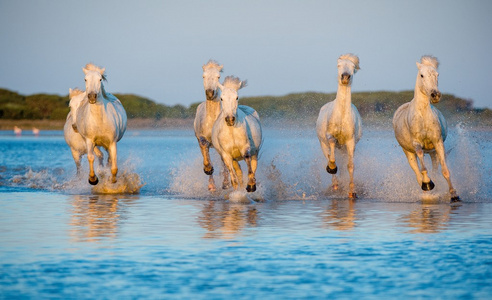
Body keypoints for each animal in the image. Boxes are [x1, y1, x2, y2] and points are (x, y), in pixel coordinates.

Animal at [193, 60, 230, 191]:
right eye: (203, 76)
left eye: (218, 77)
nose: (210, 93)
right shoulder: (202, 138)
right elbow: (205, 152)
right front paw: (208, 169)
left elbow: (225, 161)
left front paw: (226, 183)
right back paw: (212, 185)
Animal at [316, 54, 362, 199]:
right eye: (338, 65)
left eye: (353, 67)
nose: (345, 77)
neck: (341, 116)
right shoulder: (330, 136)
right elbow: (331, 147)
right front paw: (331, 168)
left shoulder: (350, 142)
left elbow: (350, 166)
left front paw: (352, 191)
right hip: (323, 144)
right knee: (328, 154)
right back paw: (335, 184)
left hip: (343, 148)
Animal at [392, 56, 462, 202]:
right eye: (422, 75)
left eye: (437, 74)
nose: (435, 95)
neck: (423, 116)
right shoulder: (417, 144)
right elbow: (423, 169)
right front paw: (428, 184)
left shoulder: (438, 142)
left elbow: (445, 171)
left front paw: (454, 194)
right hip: (408, 152)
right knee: (416, 170)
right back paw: (426, 187)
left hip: (433, 152)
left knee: (435, 168)